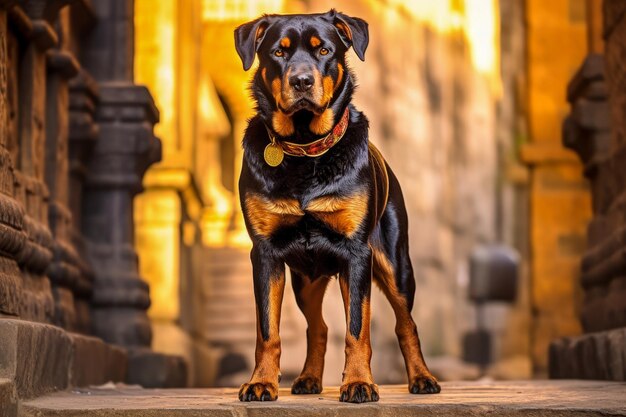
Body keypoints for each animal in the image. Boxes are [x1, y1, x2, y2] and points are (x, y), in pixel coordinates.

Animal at [233, 8, 438, 400]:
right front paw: (261, 382)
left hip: (396, 264)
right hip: (305, 280)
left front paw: (358, 382)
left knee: (407, 324)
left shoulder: (356, 253)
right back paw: (308, 379)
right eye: (278, 52)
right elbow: (267, 331)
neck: (303, 148)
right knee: (319, 327)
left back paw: (422, 378)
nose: (301, 81)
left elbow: (358, 328)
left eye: (324, 50)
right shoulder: (265, 254)